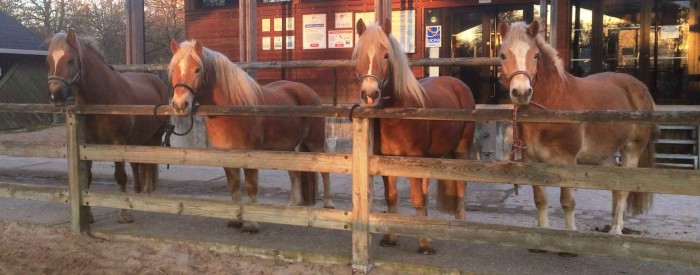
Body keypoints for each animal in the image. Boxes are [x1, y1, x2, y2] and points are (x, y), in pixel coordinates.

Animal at [46, 30, 170, 224]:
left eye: (71, 60)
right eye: (48, 61)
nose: (56, 95)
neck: (102, 100)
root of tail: (156, 80)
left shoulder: (116, 142)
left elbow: (120, 177)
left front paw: (124, 214)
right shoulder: (86, 145)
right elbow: (87, 178)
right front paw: (88, 215)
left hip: (155, 137)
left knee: (149, 165)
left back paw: (147, 193)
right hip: (136, 140)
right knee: (136, 164)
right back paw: (136, 192)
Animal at [169, 38, 334, 233]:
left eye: (197, 69)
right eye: (173, 70)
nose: (180, 105)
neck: (232, 110)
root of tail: (308, 91)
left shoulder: (250, 156)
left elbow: (251, 187)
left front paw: (251, 224)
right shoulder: (226, 157)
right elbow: (233, 187)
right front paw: (235, 220)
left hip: (315, 142)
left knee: (324, 170)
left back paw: (328, 204)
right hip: (287, 146)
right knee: (294, 173)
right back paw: (292, 206)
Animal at [356, 17, 476, 254]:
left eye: (386, 55)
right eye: (360, 55)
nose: (370, 94)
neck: (398, 113)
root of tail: (458, 84)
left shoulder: (412, 161)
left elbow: (416, 199)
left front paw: (424, 243)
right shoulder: (387, 162)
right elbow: (392, 198)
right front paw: (391, 237)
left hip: (461, 150)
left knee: (460, 184)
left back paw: (460, 223)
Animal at [498, 21, 656, 242]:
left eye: (536, 55)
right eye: (503, 55)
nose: (521, 92)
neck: (553, 106)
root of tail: (640, 87)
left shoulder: (566, 163)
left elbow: (567, 203)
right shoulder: (531, 161)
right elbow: (540, 200)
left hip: (632, 149)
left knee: (624, 189)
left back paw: (616, 230)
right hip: (604, 154)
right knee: (615, 186)